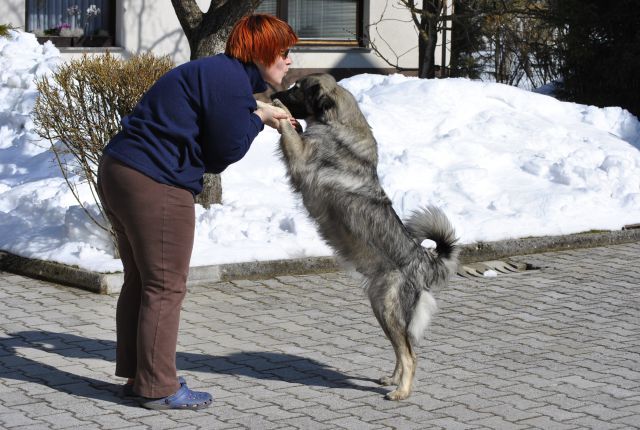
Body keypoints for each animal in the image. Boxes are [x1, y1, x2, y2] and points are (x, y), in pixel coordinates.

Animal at [270, 74, 460, 400]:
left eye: (297, 88)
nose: (273, 93)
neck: (336, 124)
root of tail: (423, 260)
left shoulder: (301, 157)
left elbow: (289, 130)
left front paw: (279, 110)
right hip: (380, 308)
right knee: (401, 348)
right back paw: (392, 379)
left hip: (387, 308)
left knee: (410, 354)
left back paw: (401, 391)